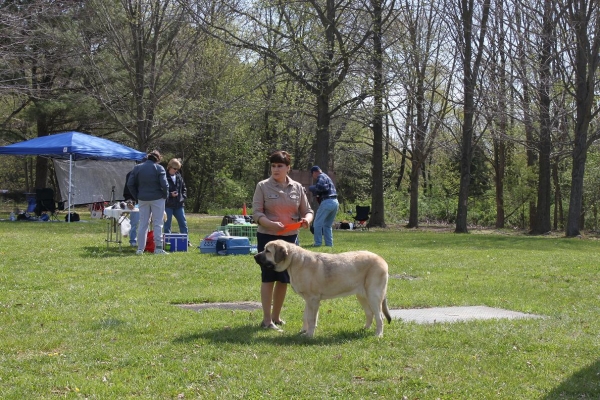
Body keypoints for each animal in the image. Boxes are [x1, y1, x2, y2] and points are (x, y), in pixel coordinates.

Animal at [254, 241, 392, 338]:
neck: (294, 261)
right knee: (370, 313)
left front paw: (309, 335)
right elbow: (305, 317)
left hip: (373, 295)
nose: (255, 256)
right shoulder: (308, 300)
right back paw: (365, 329)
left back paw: (378, 334)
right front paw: (303, 331)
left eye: (267, 251)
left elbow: (311, 318)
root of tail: (382, 260)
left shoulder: (313, 300)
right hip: (362, 296)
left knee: (380, 316)